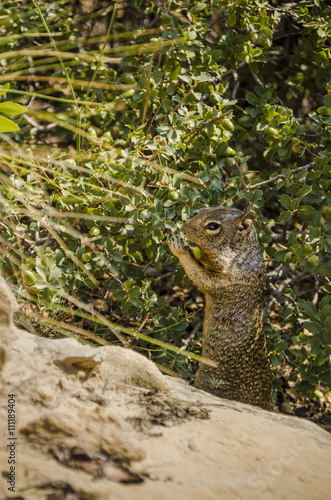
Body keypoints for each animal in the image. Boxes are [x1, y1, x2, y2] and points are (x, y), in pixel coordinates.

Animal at [170, 197, 274, 412]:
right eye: (203, 210)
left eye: (213, 226)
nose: (183, 228)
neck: (241, 255)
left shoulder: (224, 279)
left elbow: (200, 277)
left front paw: (180, 248)